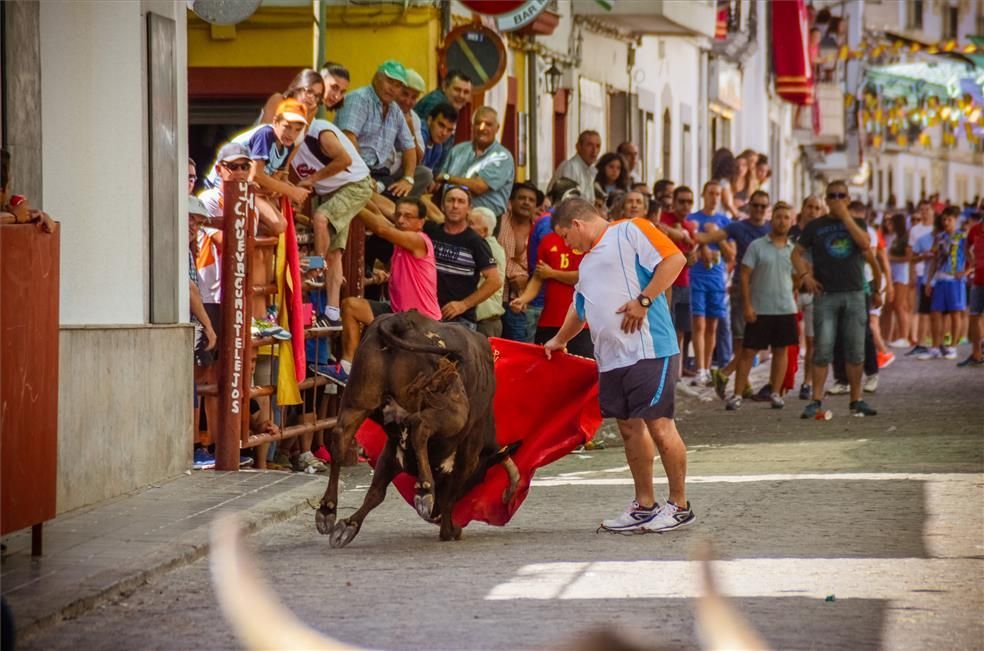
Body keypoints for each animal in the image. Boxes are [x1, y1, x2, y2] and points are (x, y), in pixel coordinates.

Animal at [318, 310, 520, 544]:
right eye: (480, 478)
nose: (435, 516)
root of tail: (402, 321)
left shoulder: (392, 450)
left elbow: (376, 492)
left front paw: (349, 525)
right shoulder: (469, 453)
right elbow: (450, 493)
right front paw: (450, 529)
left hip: (356, 401)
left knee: (340, 438)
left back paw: (326, 510)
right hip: (454, 409)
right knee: (420, 427)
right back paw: (424, 490)